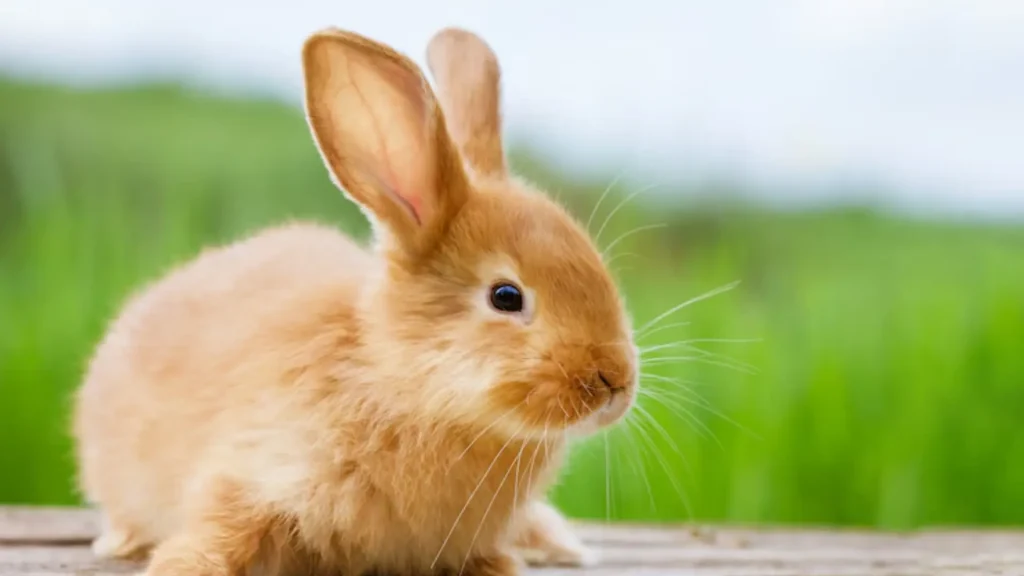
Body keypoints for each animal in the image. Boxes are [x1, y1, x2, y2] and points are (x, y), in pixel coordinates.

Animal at [71, 25, 639, 576]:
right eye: (506, 296)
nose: (615, 383)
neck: (404, 385)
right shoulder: (255, 468)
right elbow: (222, 525)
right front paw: (185, 564)